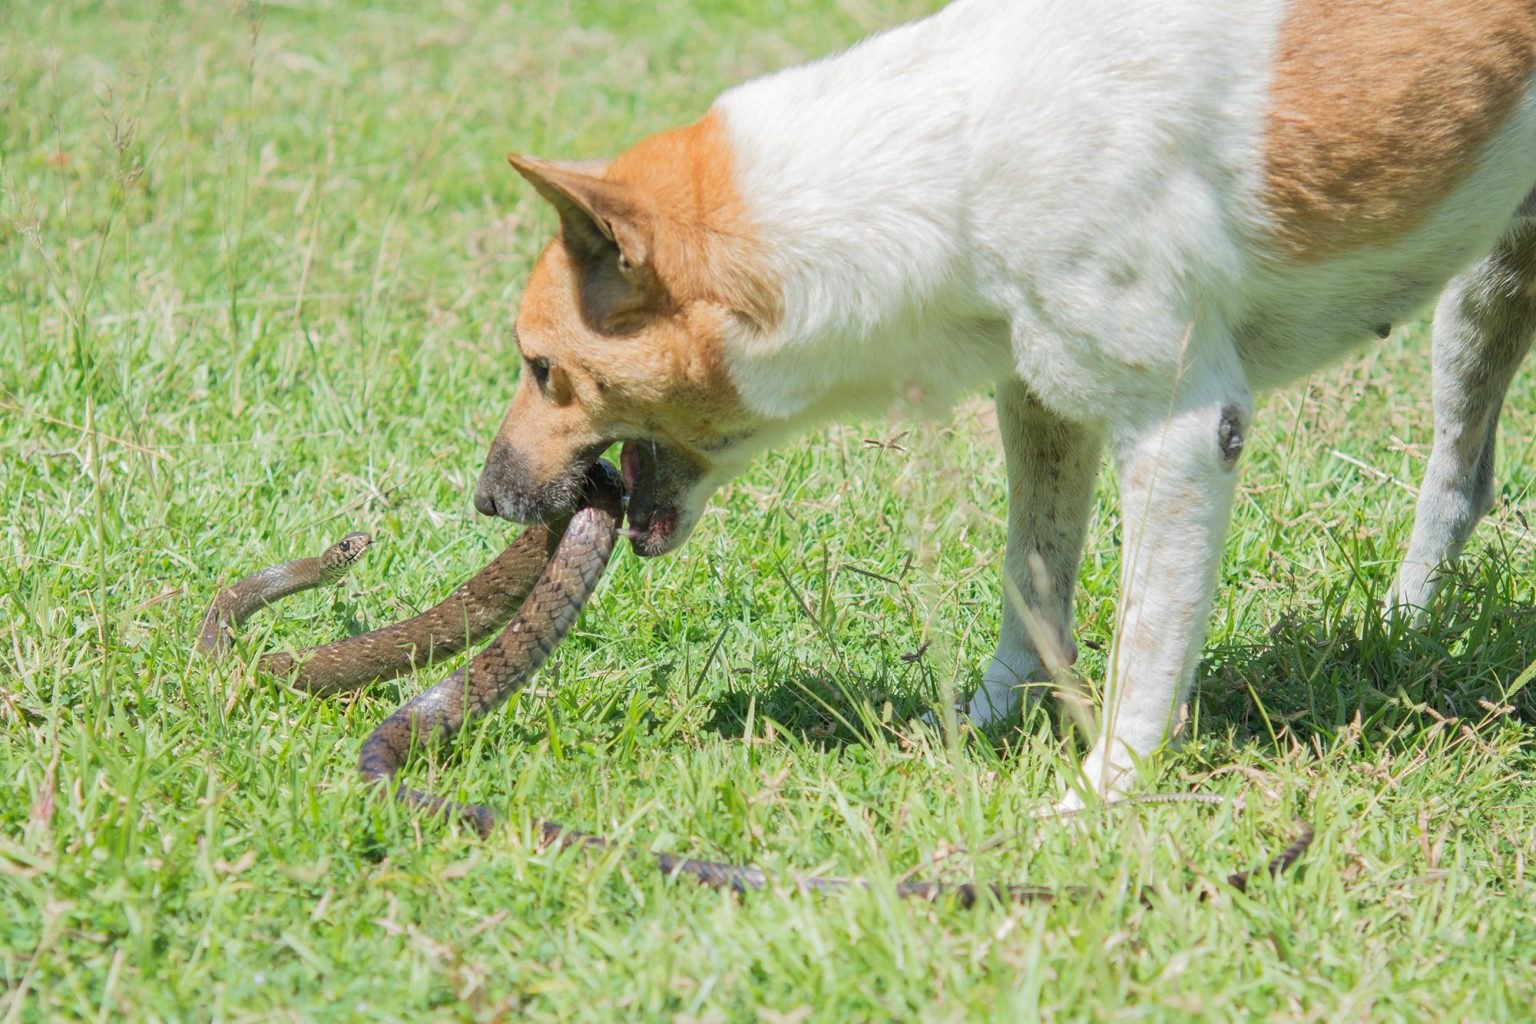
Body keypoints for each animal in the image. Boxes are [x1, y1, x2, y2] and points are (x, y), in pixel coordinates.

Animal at [476, 0, 1536, 798]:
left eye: (539, 368)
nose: (486, 498)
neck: (948, 163)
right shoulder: (1041, 401)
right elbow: (1031, 581)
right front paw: (983, 722)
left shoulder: (1184, 433)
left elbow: (1147, 641)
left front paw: (1104, 794)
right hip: (1483, 302)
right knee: (1464, 482)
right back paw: (1405, 625)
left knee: (1456, 478)